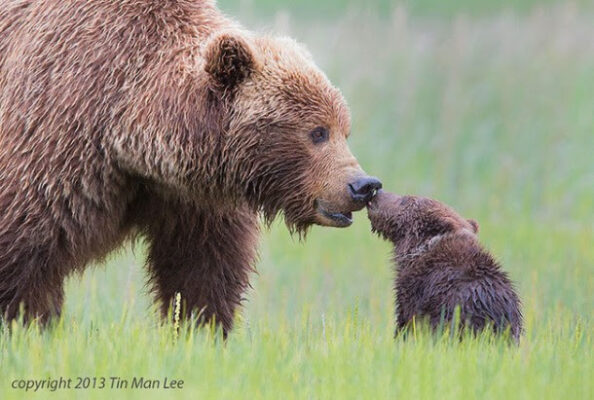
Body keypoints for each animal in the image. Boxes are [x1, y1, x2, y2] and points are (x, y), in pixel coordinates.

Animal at [0, 0, 380, 334]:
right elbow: (25, 251)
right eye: (317, 132)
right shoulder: (58, 140)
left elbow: (202, 267)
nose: (363, 185)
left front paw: (200, 329)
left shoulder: (192, 197)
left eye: (344, 130)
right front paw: (27, 324)